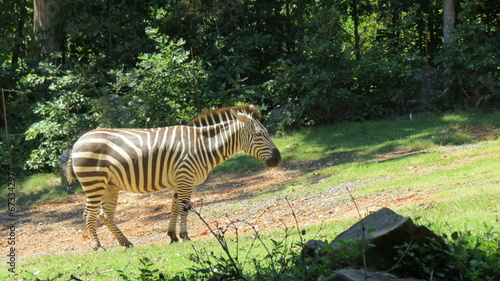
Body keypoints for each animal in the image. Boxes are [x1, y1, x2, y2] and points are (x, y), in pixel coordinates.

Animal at [66, 104, 282, 248]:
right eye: (259, 134)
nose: (278, 159)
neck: (203, 145)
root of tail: (77, 143)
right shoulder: (186, 177)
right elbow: (185, 208)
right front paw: (185, 236)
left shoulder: (180, 180)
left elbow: (174, 207)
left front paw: (172, 236)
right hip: (94, 182)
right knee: (89, 214)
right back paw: (98, 246)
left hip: (110, 184)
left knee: (106, 214)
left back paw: (126, 243)